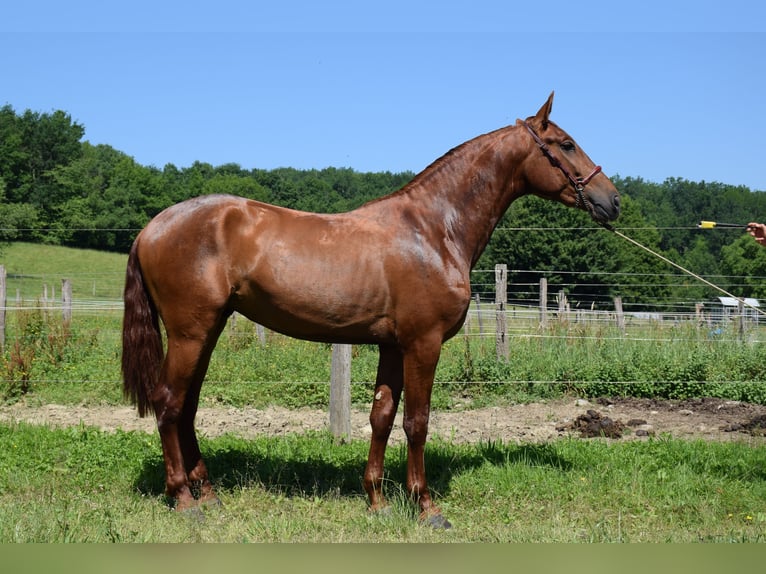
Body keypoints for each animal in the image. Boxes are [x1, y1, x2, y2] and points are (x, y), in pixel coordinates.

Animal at [121, 92, 624, 528]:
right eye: (566, 144)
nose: (613, 200)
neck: (433, 229)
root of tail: (152, 227)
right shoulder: (423, 344)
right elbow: (417, 423)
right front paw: (426, 507)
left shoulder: (392, 346)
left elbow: (381, 417)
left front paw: (377, 500)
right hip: (190, 333)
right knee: (168, 404)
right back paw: (184, 499)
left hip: (208, 331)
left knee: (187, 408)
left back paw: (208, 494)